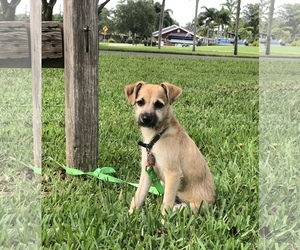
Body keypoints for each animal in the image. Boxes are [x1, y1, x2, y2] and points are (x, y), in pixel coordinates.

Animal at [125, 80, 216, 215]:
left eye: (159, 104)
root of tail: (213, 201)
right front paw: (130, 214)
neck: (158, 135)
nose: (145, 119)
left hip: (190, 206)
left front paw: (163, 221)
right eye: (140, 102)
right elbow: (138, 196)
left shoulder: (173, 174)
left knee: (173, 207)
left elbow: (166, 205)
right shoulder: (147, 172)